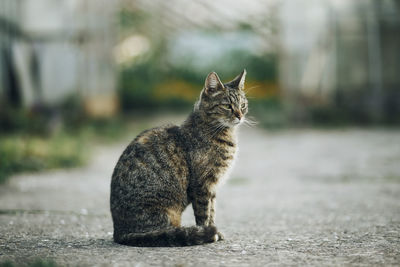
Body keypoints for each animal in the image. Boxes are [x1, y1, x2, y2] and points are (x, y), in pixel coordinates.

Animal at [109, 69, 247, 247]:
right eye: (227, 106)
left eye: (243, 105)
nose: (240, 116)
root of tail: (119, 233)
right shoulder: (202, 185)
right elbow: (204, 214)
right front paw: (209, 233)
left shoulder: (212, 187)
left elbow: (212, 211)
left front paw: (215, 231)